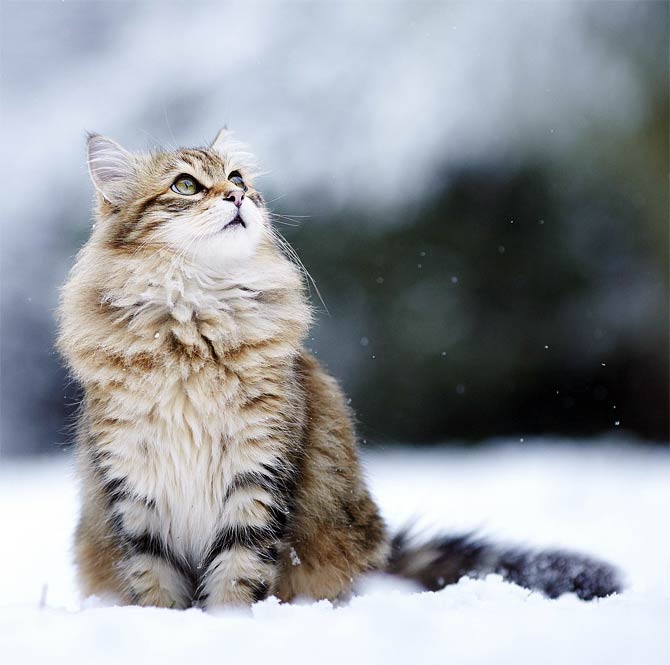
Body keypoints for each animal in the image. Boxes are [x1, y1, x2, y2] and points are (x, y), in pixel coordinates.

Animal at [57, 128, 624, 608]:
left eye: (237, 178)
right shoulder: (132, 485)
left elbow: (239, 575)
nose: (236, 197)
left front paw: (230, 625)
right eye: (185, 185)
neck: (193, 329)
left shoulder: (258, 473)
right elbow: (154, 583)